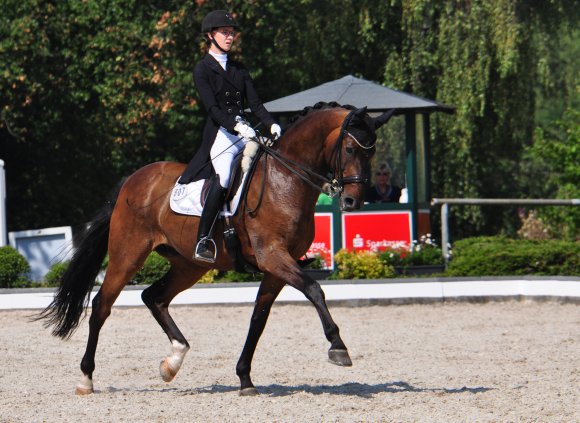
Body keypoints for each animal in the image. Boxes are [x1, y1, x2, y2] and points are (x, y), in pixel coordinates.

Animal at [37, 102, 394, 398]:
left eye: (373, 151)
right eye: (350, 148)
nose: (353, 201)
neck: (285, 180)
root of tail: (132, 179)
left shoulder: (277, 267)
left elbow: (259, 318)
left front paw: (245, 379)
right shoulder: (273, 256)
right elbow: (315, 289)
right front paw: (338, 347)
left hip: (190, 264)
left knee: (154, 297)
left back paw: (173, 361)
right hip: (128, 255)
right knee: (102, 305)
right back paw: (86, 379)